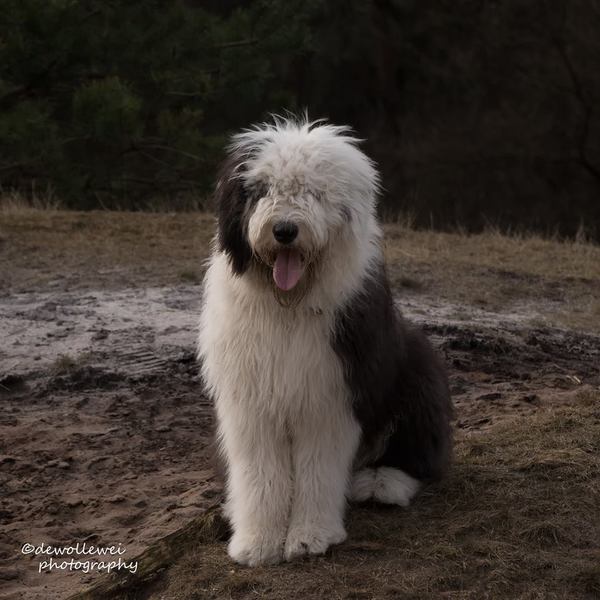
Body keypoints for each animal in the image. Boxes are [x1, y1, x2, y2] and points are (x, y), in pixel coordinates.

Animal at [199, 118, 452, 568]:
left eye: (314, 193)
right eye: (261, 190)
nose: (284, 230)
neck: (288, 305)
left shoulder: (330, 395)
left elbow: (318, 471)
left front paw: (309, 536)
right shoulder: (251, 402)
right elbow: (259, 475)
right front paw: (258, 542)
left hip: (419, 369)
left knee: (420, 452)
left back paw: (383, 482)